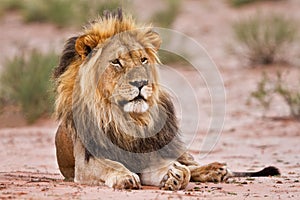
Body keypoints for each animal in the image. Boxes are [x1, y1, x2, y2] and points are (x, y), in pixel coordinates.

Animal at [52, 9, 280, 191]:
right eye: (116, 62)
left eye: (143, 59)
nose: (141, 83)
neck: (127, 119)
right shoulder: (86, 164)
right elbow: (111, 165)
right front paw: (125, 176)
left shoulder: (150, 156)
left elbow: (178, 169)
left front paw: (175, 176)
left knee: (189, 163)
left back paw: (215, 170)